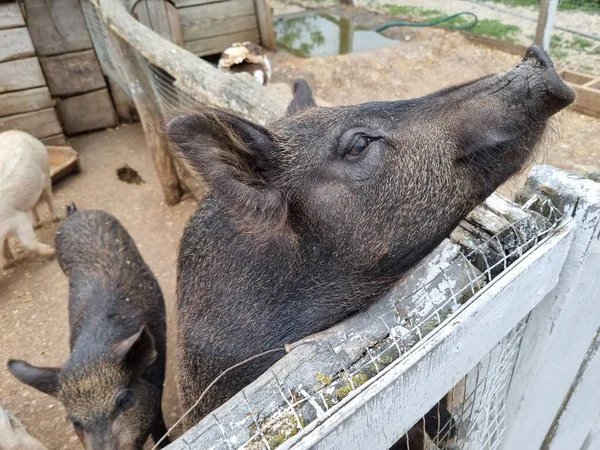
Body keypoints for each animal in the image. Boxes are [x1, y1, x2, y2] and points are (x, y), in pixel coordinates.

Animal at [7, 207, 169, 450]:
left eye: (124, 401)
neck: (93, 350)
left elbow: (158, 422)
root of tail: (76, 212)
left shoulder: (156, 379)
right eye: (74, 422)